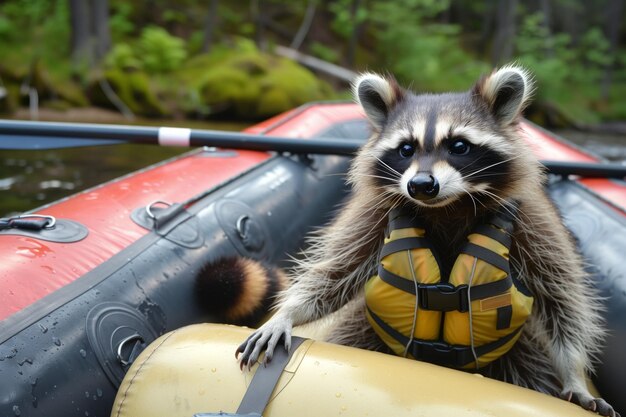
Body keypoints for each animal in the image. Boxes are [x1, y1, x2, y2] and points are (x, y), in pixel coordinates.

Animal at [234, 66, 616, 416]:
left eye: (459, 146)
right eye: (406, 149)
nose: (420, 185)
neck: (448, 205)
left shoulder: (530, 219)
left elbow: (562, 296)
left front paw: (574, 372)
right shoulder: (374, 213)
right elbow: (335, 271)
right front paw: (286, 313)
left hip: (522, 349)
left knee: (533, 367)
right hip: (365, 328)